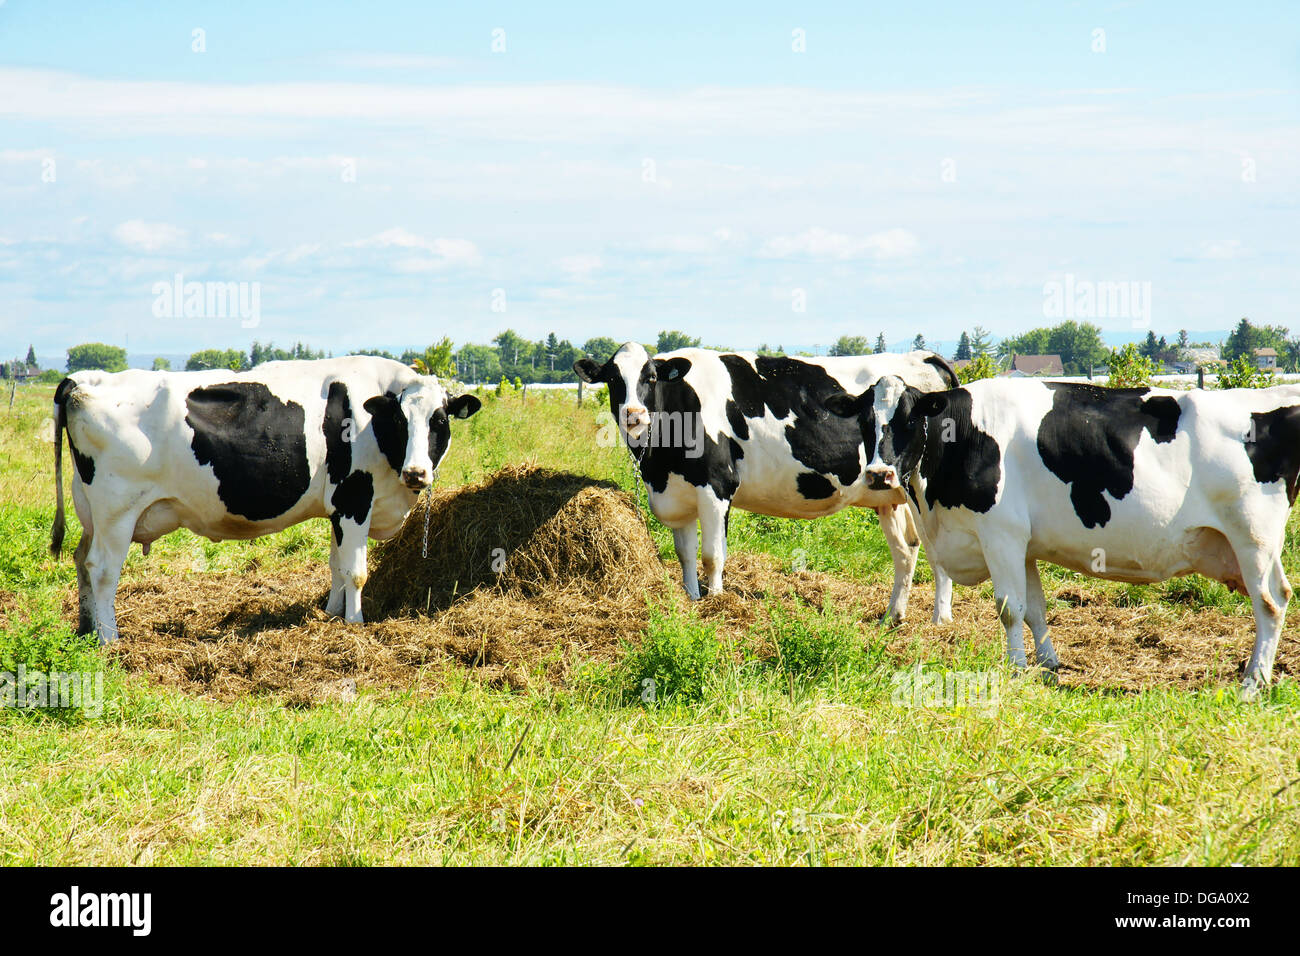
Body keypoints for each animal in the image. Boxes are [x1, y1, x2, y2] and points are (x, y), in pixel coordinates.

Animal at [50, 356, 481, 644]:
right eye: (398, 420)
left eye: (439, 420)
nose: (416, 473)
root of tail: (85, 379)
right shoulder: (355, 497)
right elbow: (356, 571)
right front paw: (355, 626)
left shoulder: (338, 509)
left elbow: (337, 566)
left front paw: (330, 615)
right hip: (117, 510)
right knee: (102, 569)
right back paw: (110, 640)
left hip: (90, 509)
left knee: (81, 560)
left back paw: (86, 629)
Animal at [573, 343, 958, 621]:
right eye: (612, 379)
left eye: (651, 377)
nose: (634, 414)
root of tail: (922, 355)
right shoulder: (677, 496)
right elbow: (685, 556)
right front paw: (693, 599)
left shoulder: (717, 487)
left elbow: (712, 555)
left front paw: (716, 602)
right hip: (889, 495)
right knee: (907, 549)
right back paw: (893, 616)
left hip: (924, 491)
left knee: (937, 550)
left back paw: (940, 619)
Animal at [823, 376, 1300, 693]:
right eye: (866, 422)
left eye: (908, 420)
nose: (879, 474)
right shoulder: (1025, 544)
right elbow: (1034, 609)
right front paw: (1048, 666)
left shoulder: (1001, 534)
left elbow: (1008, 609)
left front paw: (1015, 670)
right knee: (1277, 597)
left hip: (1253, 536)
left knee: (1271, 603)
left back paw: (1253, 683)